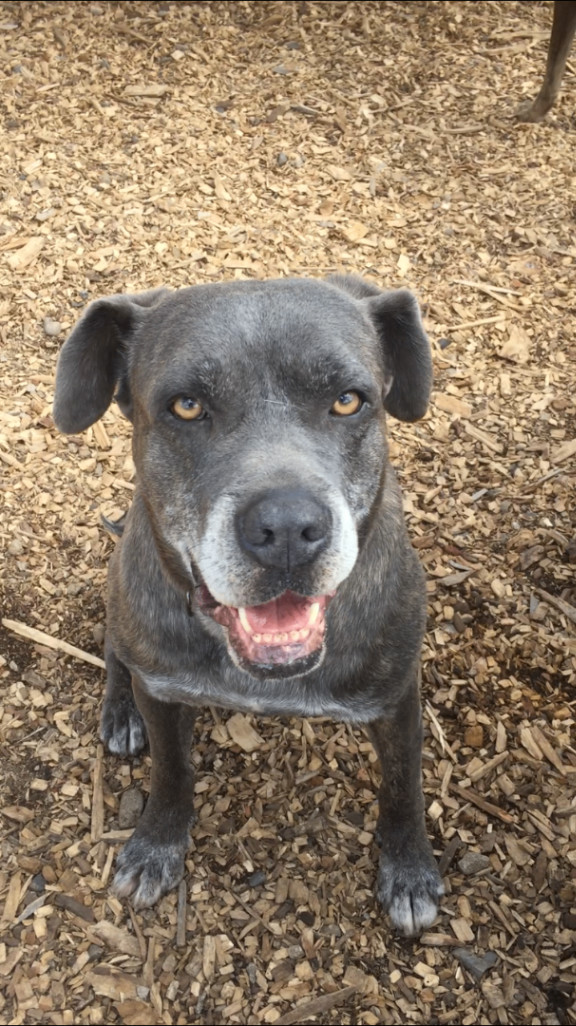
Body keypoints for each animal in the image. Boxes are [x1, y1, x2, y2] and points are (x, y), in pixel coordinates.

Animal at [52, 277, 439, 935]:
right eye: (186, 406)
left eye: (347, 400)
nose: (286, 528)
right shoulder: (164, 690)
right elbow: (172, 771)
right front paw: (156, 843)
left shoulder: (395, 698)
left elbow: (403, 785)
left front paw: (410, 867)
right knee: (115, 651)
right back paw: (120, 710)